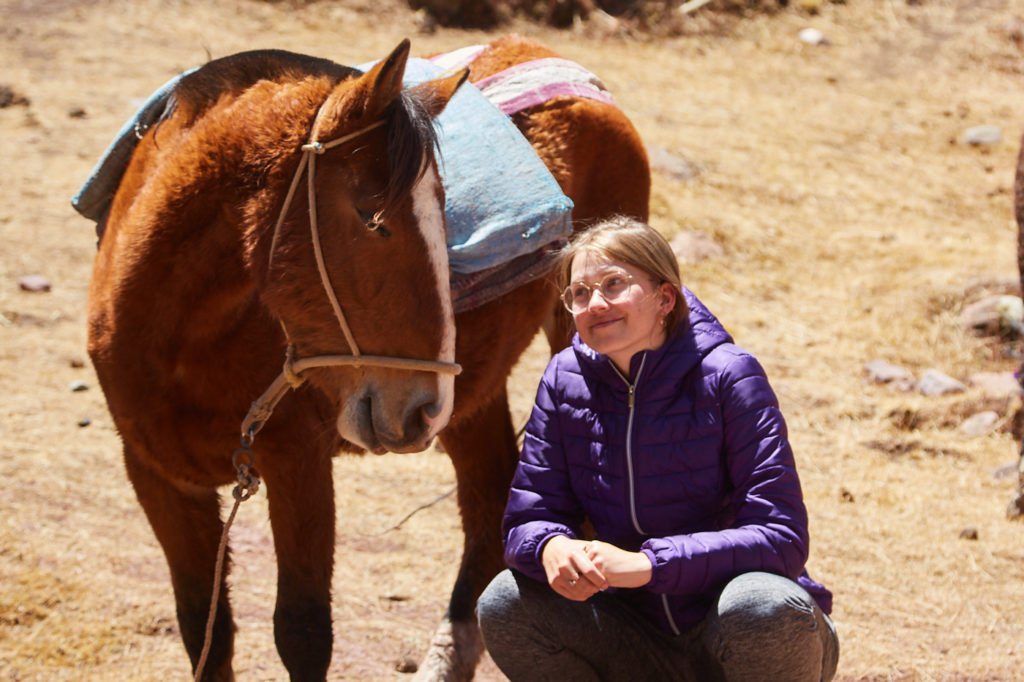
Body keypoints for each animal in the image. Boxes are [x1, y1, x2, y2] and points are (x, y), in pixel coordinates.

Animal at [88, 37, 647, 679]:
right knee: (490, 502)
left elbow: (302, 631)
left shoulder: (297, 462)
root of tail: (573, 74)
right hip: (472, 397)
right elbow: (205, 628)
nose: (422, 408)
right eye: (371, 218)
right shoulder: (155, 473)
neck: (177, 336)